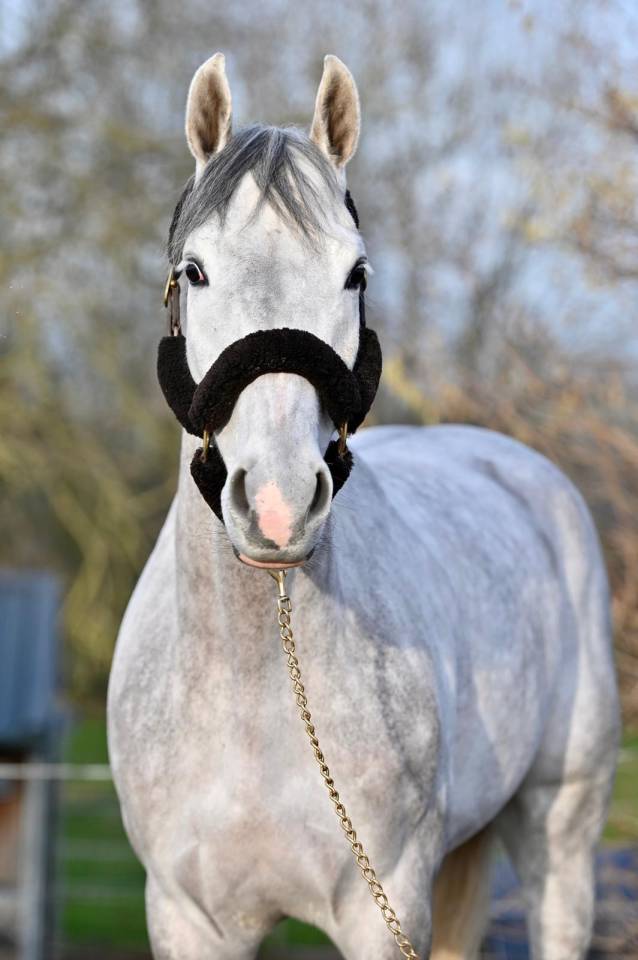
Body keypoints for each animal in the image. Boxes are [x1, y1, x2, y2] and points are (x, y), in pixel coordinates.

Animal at [107, 53, 620, 959]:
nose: (277, 504)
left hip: (560, 830)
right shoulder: (187, 918)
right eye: (195, 270)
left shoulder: (385, 911)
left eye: (356, 274)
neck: (256, 692)